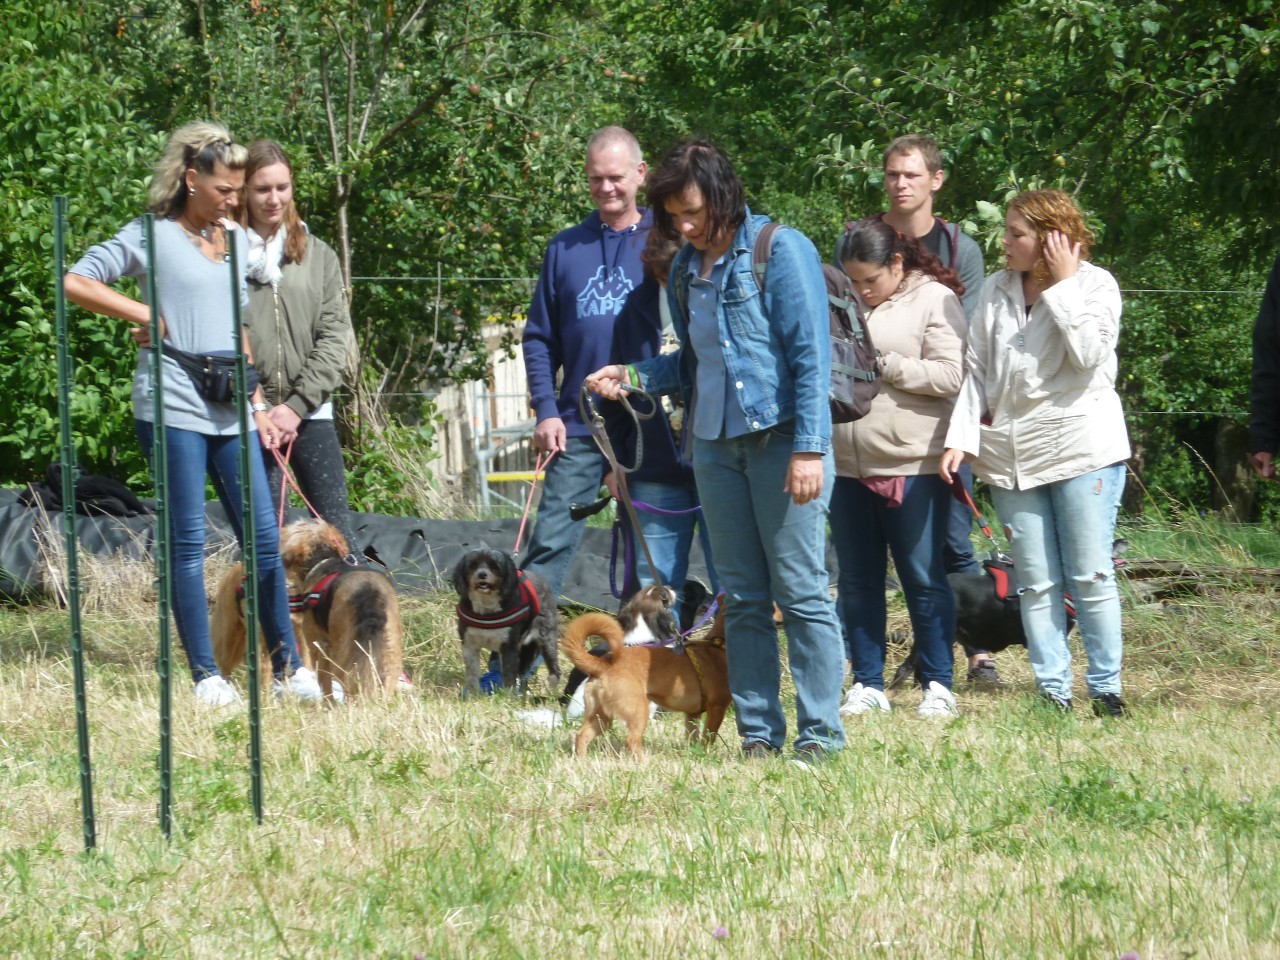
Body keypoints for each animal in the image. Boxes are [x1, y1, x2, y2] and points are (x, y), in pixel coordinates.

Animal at [450, 547, 560, 701]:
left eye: (494, 566)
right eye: (473, 565)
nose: (482, 574)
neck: (486, 610)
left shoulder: (509, 647)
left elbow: (509, 676)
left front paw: (509, 699)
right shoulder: (469, 644)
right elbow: (472, 674)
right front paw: (472, 696)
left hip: (547, 640)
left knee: (554, 672)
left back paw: (551, 694)